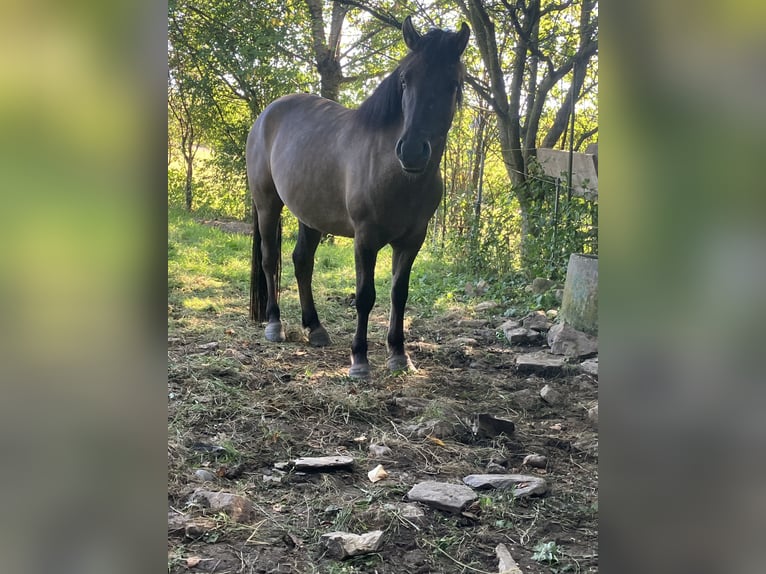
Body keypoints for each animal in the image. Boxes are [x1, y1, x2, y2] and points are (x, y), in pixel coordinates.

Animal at [246, 16, 470, 378]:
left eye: (452, 83)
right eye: (405, 80)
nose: (411, 151)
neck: (395, 172)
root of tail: (267, 114)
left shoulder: (412, 240)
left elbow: (399, 294)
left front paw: (398, 354)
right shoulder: (365, 238)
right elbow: (365, 295)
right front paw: (360, 359)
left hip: (311, 215)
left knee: (302, 262)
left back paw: (315, 328)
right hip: (267, 205)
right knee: (270, 260)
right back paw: (274, 325)